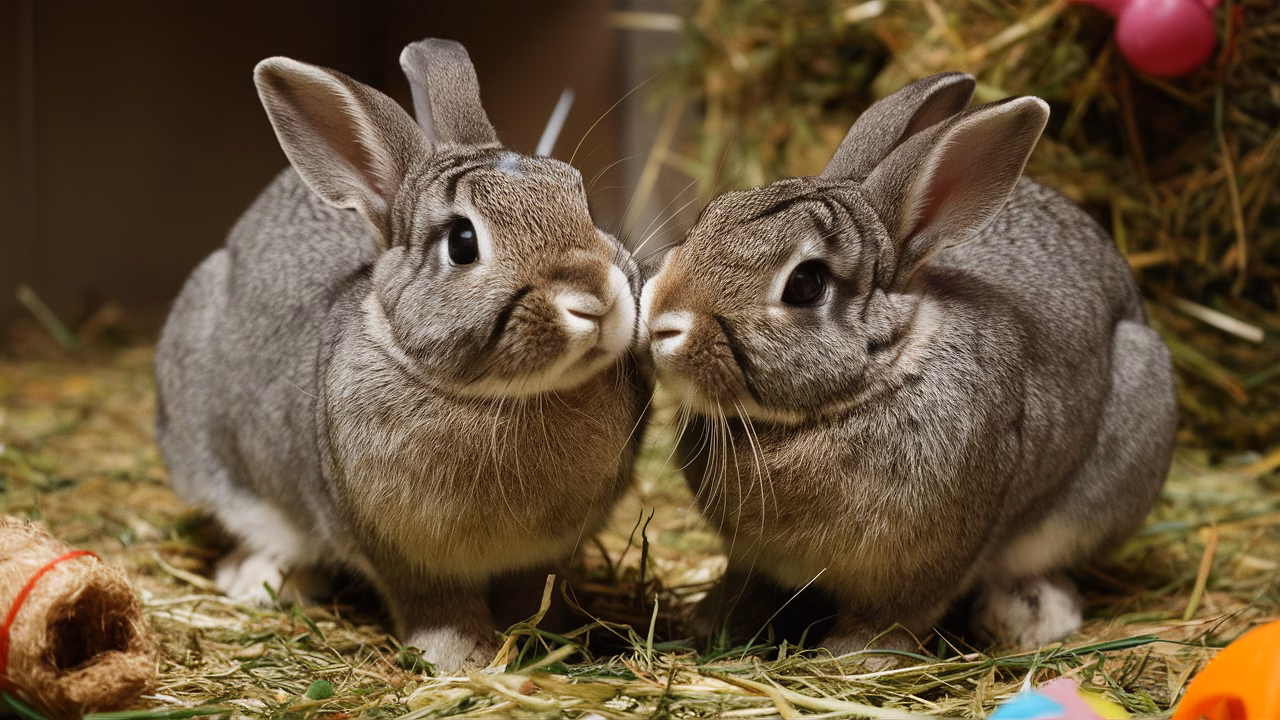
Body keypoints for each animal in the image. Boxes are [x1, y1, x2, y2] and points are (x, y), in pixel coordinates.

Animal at [155, 39, 649, 671]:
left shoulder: (548, 554)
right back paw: (260, 581)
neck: (506, 397)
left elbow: (534, 590)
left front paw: (550, 639)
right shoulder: (395, 552)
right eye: (462, 243)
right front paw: (460, 658)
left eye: (580, 200)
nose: (594, 300)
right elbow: (433, 603)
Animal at [639, 72, 1176, 657]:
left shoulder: (925, 564)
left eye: (805, 284)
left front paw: (852, 657)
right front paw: (712, 621)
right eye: (711, 215)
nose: (660, 318)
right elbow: (746, 582)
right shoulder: (751, 556)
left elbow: (894, 615)